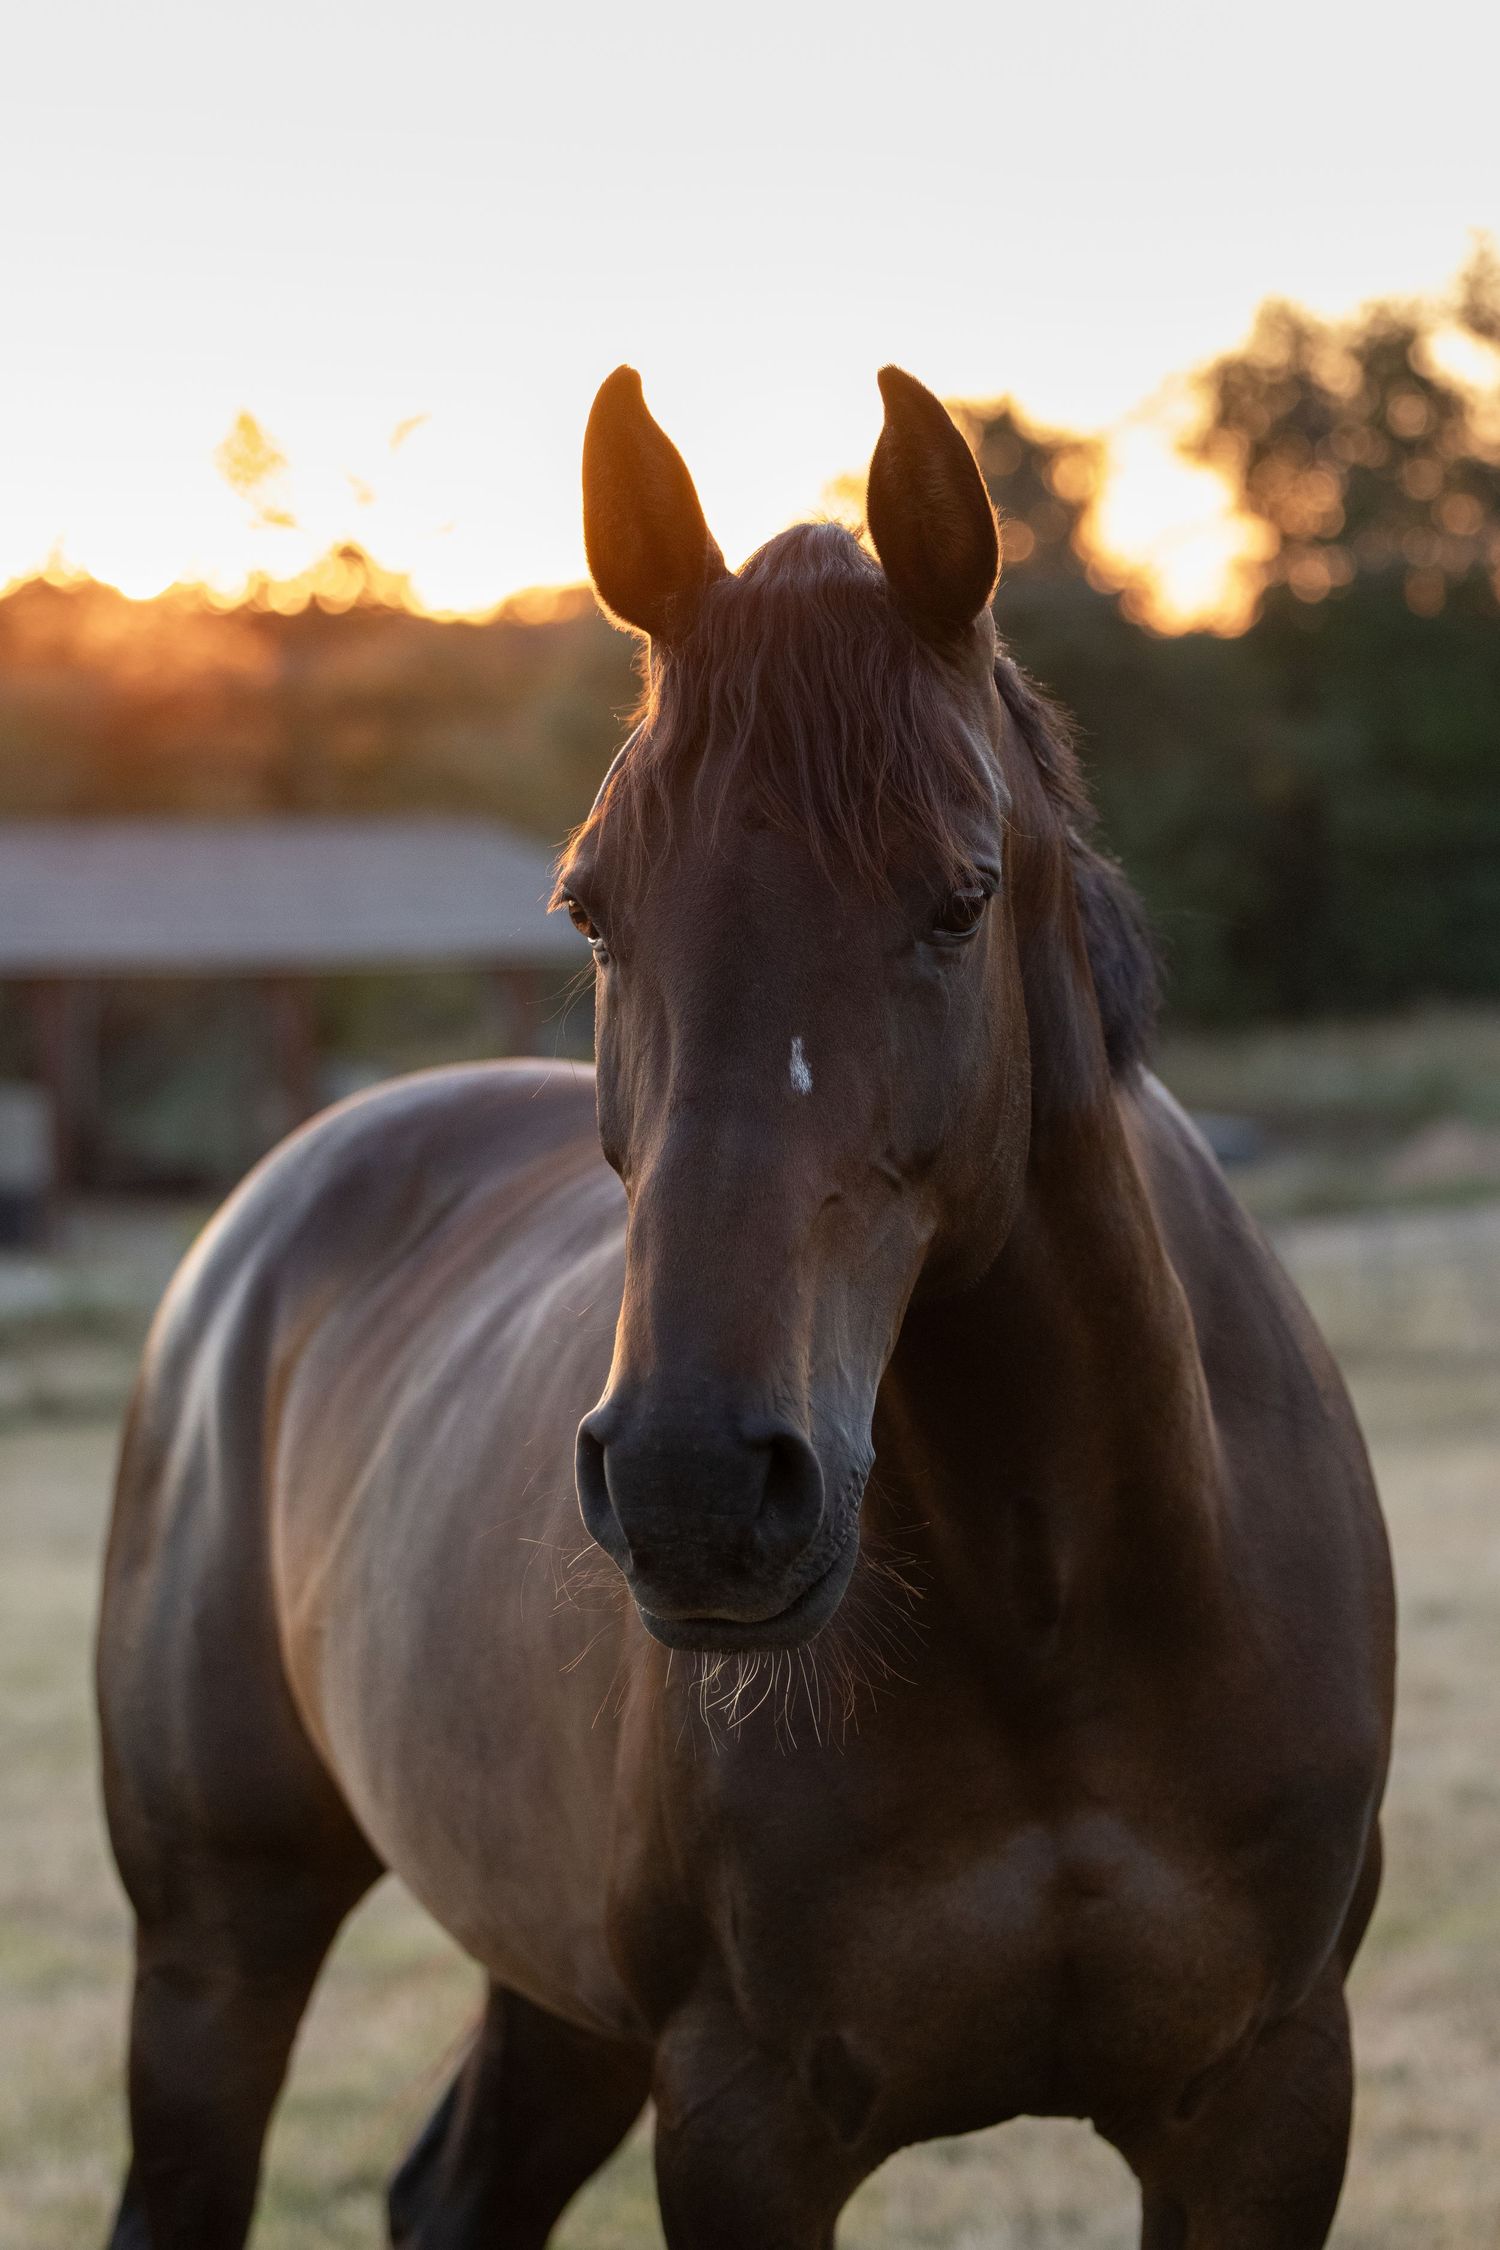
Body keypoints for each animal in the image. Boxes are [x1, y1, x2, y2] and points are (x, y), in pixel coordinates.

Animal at [97, 365, 1395, 2249]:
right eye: (590, 906)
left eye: (959, 897)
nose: (695, 1487)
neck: (1066, 1606)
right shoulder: (742, 2115)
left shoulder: (1269, 2099)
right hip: (217, 1948)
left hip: (551, 1982)